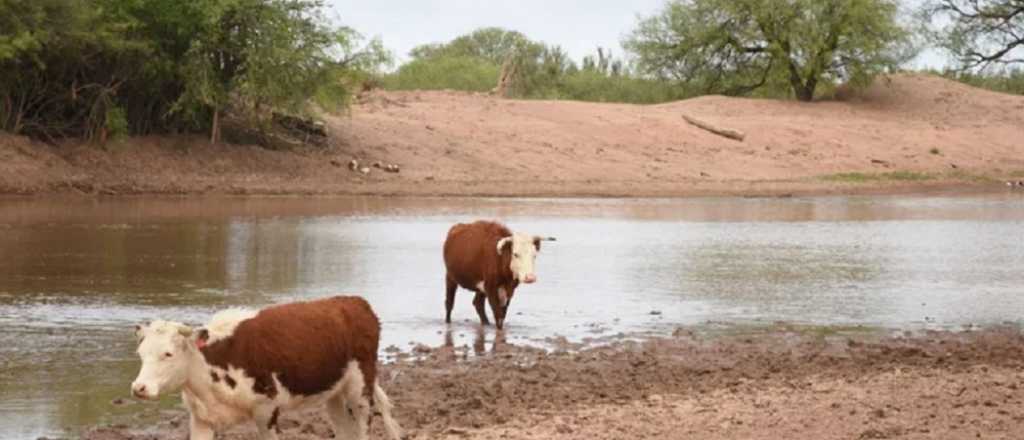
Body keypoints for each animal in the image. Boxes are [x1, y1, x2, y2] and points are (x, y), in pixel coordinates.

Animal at [134, 294, 405, 440]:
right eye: (140, 354)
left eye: (167, 354)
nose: (139, 388)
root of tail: (354, 302)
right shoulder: (201, 419)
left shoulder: (266, 412)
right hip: (334, 394)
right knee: (344, 429)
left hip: (360, 389)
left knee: (362, 425)